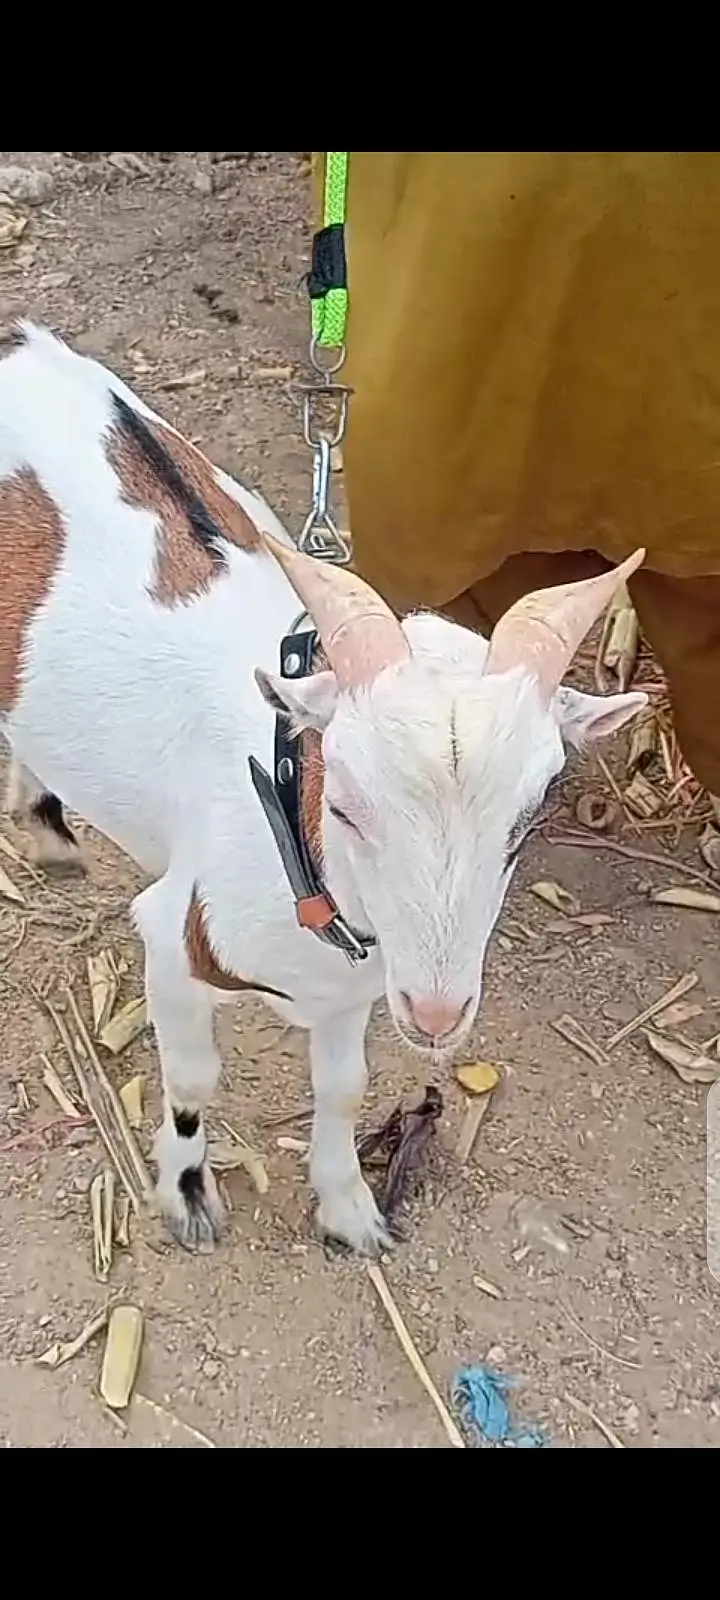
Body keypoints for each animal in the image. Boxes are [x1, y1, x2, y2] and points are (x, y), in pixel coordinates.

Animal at [0, 320, 648, 1255]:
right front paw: (188, 1196)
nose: (438, 1014)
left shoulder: (356, 991)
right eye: (343, 801)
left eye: (526, 822)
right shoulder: (171, 937)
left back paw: (46, 823)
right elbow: (193, 1079)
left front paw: (350, 1209)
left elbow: (343, 1088)